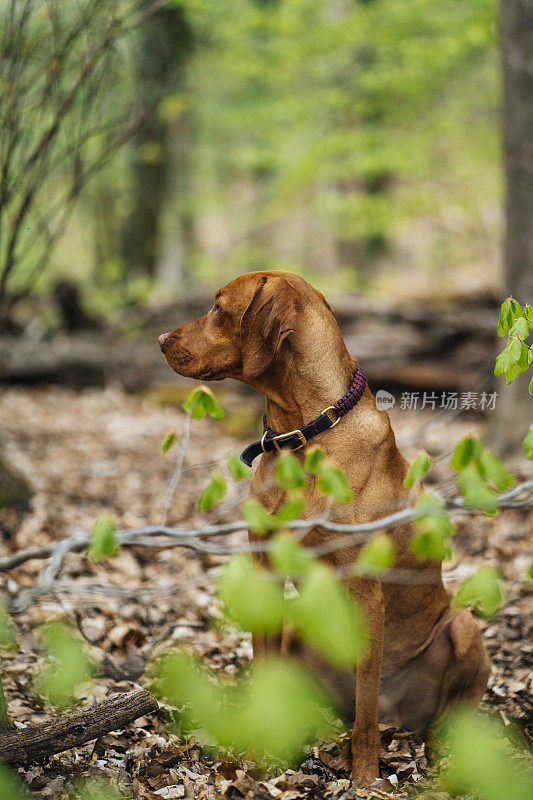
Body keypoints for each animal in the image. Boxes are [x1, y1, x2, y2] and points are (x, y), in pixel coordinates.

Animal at [159, 270, 490, 788]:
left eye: (217, 307)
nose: (159, 339)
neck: (302, 434)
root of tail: (401, 716)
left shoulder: (366, 592)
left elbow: (365, 716)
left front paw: (365, 779)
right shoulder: (266, 574)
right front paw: (256, 758)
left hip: (463, 627)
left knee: (426, 716)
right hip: (302, 629)